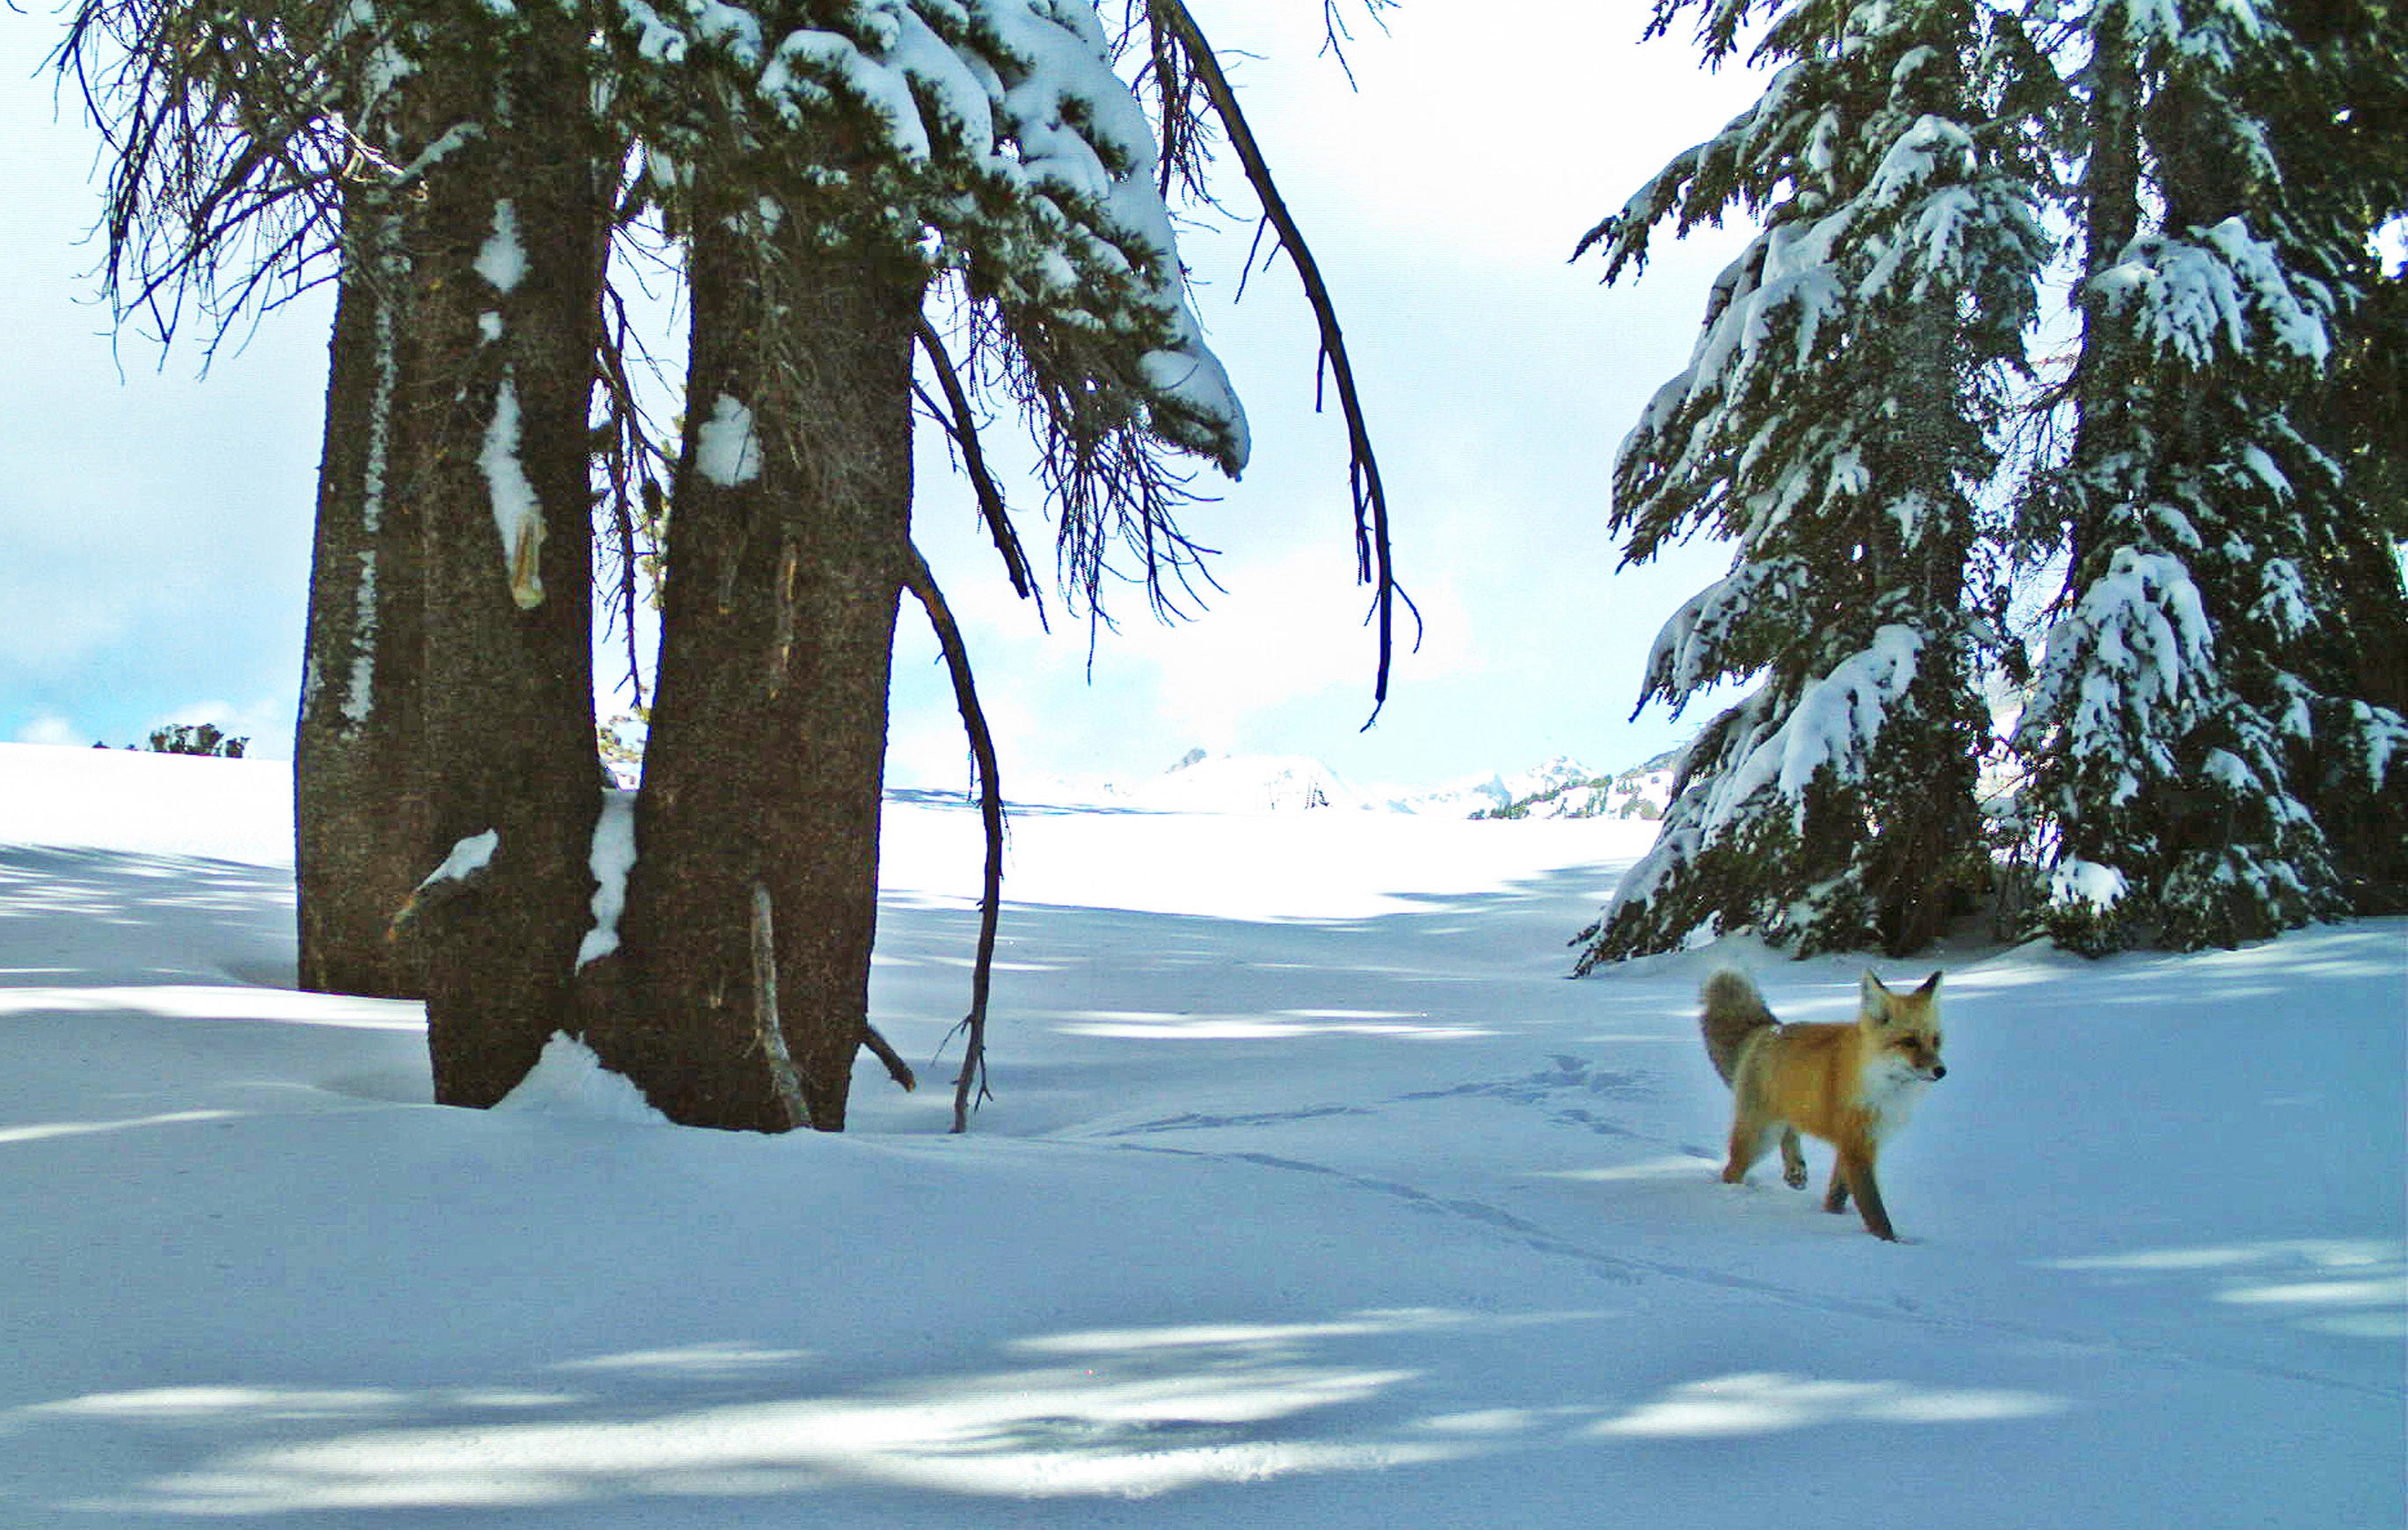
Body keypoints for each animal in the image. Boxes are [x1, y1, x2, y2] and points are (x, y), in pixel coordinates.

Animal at [1705, 968, 1946, 1242]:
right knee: (1732, 1170)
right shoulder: (1856, 1147)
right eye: (1909, 1042)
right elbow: (1875, 1211)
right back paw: (1734, 1196)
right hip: (1760, 1136)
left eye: (1936, 1041)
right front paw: (1889, 1242)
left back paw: (1795, 1170)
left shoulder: (1859, 1141)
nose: (1941, 1071)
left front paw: (1832, 1217)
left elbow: (1838, 1195)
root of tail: (1768, 1029)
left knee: (1790, 1131)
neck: (1882, 1088)